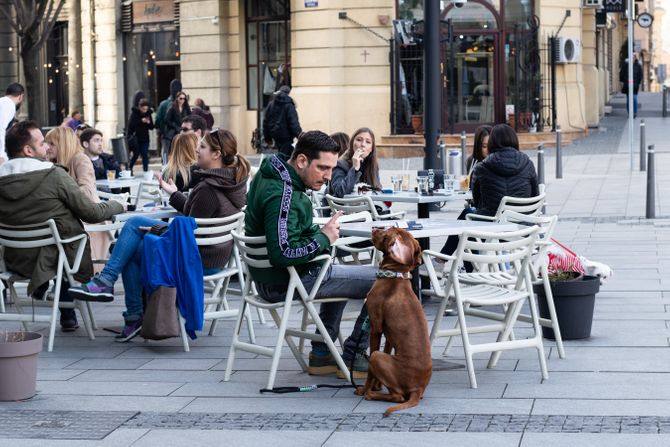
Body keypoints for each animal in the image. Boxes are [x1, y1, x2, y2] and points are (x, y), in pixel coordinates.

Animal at [356, 229, 436, 418]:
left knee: (398, 396)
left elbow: (370, 371)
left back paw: (370, 394)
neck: (395, 276)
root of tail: (417, 389)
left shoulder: (376, 328)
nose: (373, 228)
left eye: (386, 234)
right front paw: (377, 385)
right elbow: (386, 350)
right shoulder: (389, 335)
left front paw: (366, 388)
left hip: (376, 357)